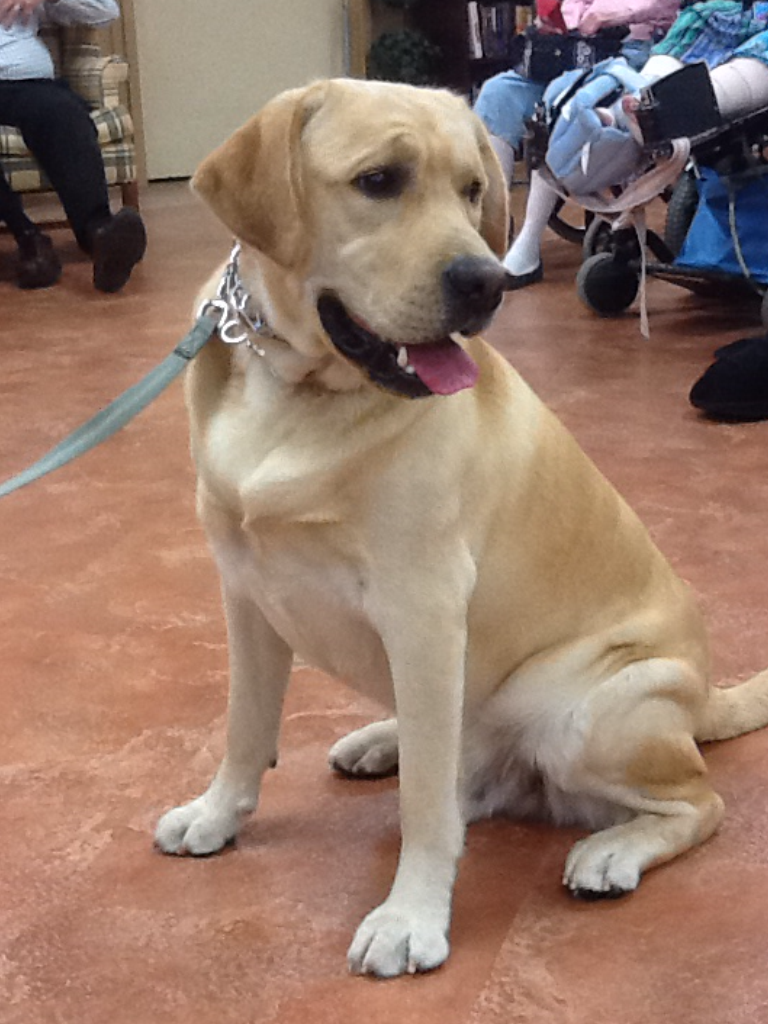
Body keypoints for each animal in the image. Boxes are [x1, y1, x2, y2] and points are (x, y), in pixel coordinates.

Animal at [154, 78, 768, 978]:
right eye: (378, 181)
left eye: (474, 190)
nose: (486, 283)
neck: (298, 391)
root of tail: (703, 697)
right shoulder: (246, 593)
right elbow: (244, 727)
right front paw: (216, 815)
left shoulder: (424, 610)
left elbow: (423, 807)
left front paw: (411, 916)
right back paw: (382, 739)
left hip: (583, 708)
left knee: (699, 801)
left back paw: (612, 850)